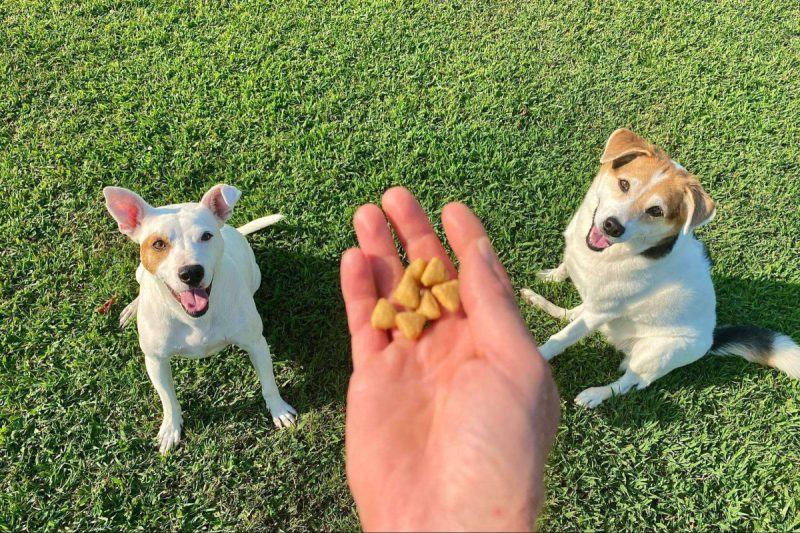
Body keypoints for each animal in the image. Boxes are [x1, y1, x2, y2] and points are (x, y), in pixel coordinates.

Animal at [104, 184, 296, 453]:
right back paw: (133, 308)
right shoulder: (155, 360)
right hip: (140, 271)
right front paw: (170, 429)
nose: (191, 272)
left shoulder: (256, 343)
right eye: (158, 244)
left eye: (206, 236)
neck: (193, 318)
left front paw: (279, 410)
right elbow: (168, 399)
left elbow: (268, 382)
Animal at [522, 129, 800, 408]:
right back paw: (538, 300)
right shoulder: (589, 294)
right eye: (624, 184)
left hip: (654, 353)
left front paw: (537, 358)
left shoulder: (600, 312)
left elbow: (560, 339)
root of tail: (712, 339)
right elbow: (565, 269)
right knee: (569, 315)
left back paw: (595, 394)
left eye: (655, 210)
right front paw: (551, 277)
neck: (616, 252)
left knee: (629, 383)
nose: (613, 226)